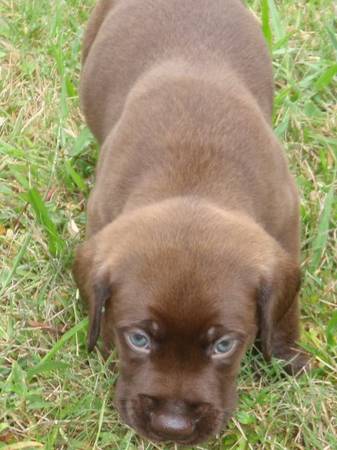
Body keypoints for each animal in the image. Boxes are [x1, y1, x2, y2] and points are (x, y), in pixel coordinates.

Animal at [73, 0, 308, 442]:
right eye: (138, 339)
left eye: (223, 346)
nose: (172, 427)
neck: (193, 179)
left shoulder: (286, 221)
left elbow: (286, 310)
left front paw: (285, 354)